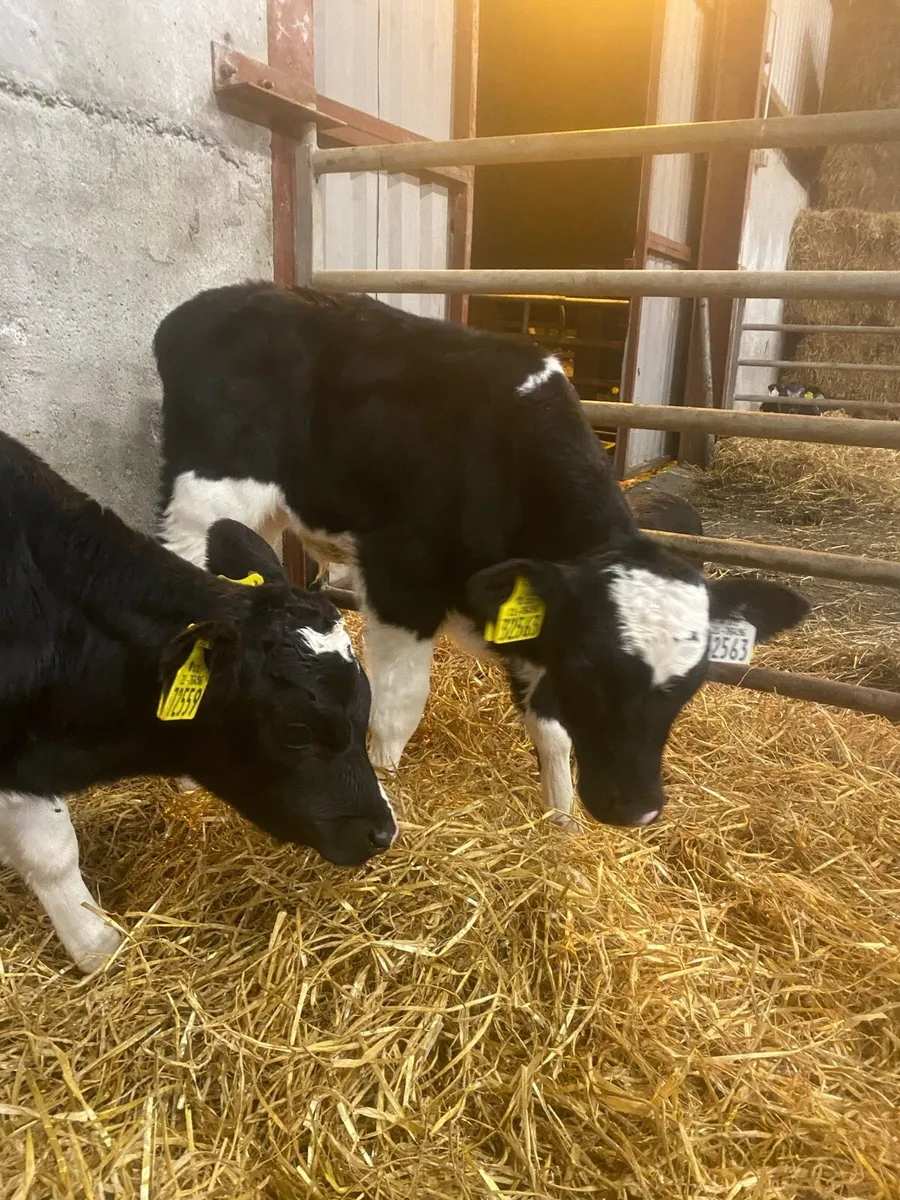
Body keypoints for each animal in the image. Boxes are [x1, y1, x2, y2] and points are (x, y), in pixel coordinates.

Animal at [155, 283, 809, 834]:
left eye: (690, 685)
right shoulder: (401, 581)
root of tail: (204, 305)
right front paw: (387, 792)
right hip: (201, 498)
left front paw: (560, 828)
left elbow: (551, 730)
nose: (636, 809)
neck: (508, 461)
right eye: (591, 669)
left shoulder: (529, 607)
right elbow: (398, 709)